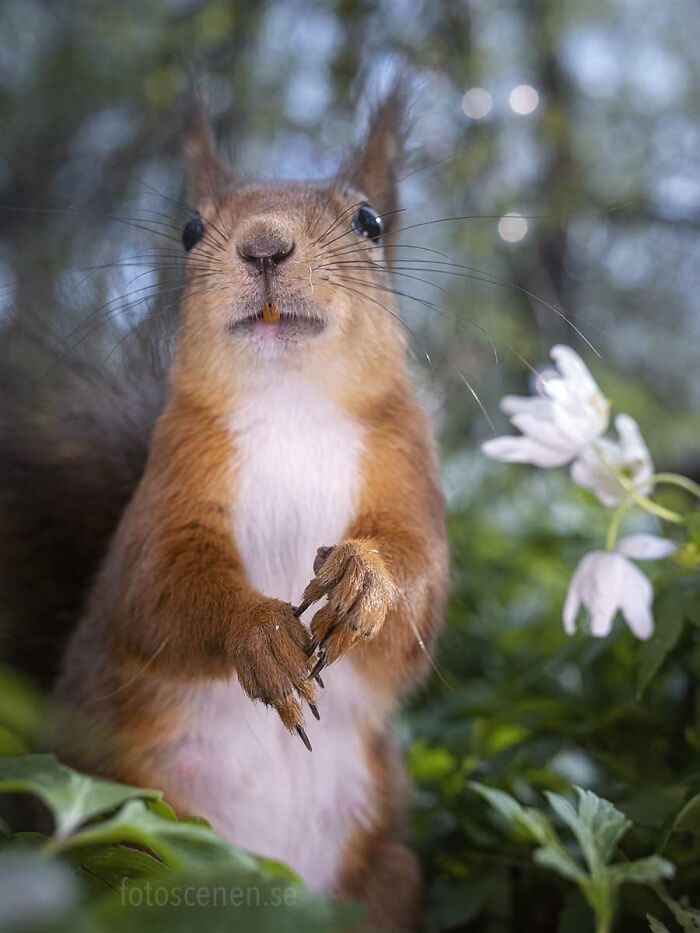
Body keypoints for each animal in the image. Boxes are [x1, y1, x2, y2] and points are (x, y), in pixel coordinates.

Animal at [0, 85, 448, 924]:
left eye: (370, 222)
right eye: (189, 228)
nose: (264, 247)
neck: (291, 402)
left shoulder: (410, 475)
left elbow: (419, 592)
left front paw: (364, 579)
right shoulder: (166, 493)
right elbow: (158, 589)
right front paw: (261, 636)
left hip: (387, 876)